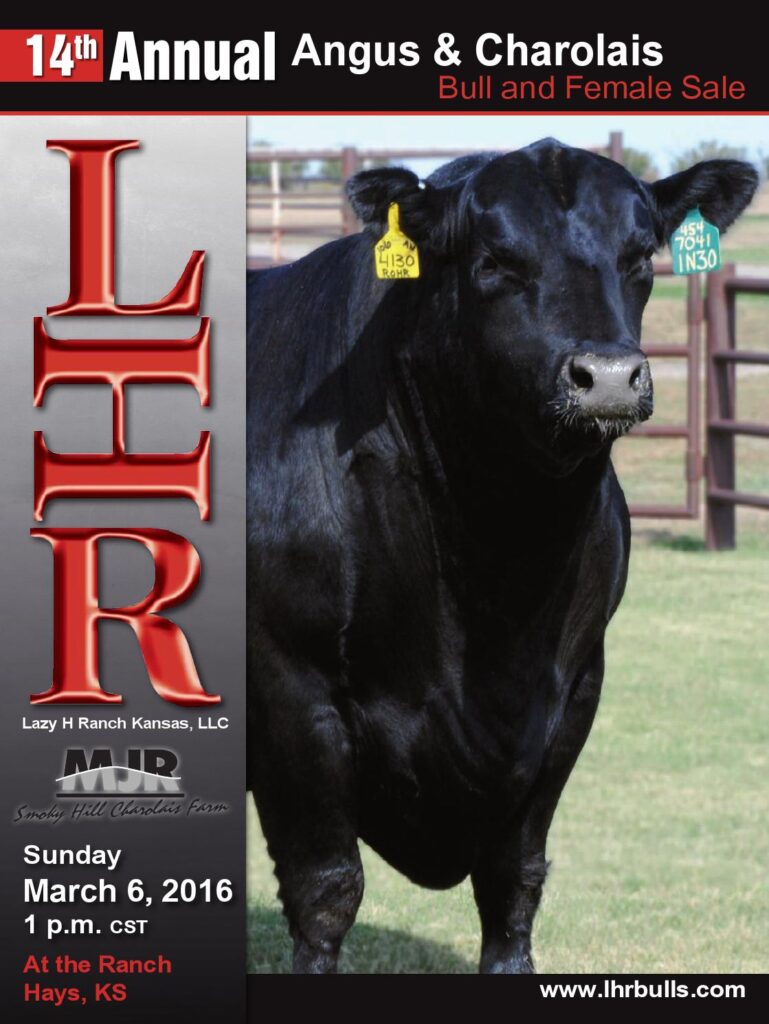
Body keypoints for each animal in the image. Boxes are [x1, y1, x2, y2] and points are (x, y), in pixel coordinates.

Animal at [246, 139, 756, 974]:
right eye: (493, 261)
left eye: (639, 254)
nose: (605, 378)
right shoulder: (291, 684)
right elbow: (325, 890)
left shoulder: (572, 693)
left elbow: (512, 883)